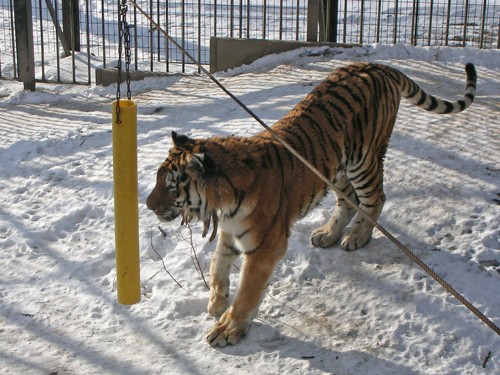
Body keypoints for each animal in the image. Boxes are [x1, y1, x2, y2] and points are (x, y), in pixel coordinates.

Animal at [146, 62, 476, 350]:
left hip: (364, 161)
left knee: (375, 199)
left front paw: (228, 329)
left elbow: (247, 292)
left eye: (171, 186)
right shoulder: (229, 231)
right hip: (338, 170)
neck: (222, 202)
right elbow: (217, 265)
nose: (148, 205)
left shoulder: (265, 247)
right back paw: (328, 235)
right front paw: (216, 301)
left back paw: (356, 237)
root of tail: (377, 65)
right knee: (348, 201)